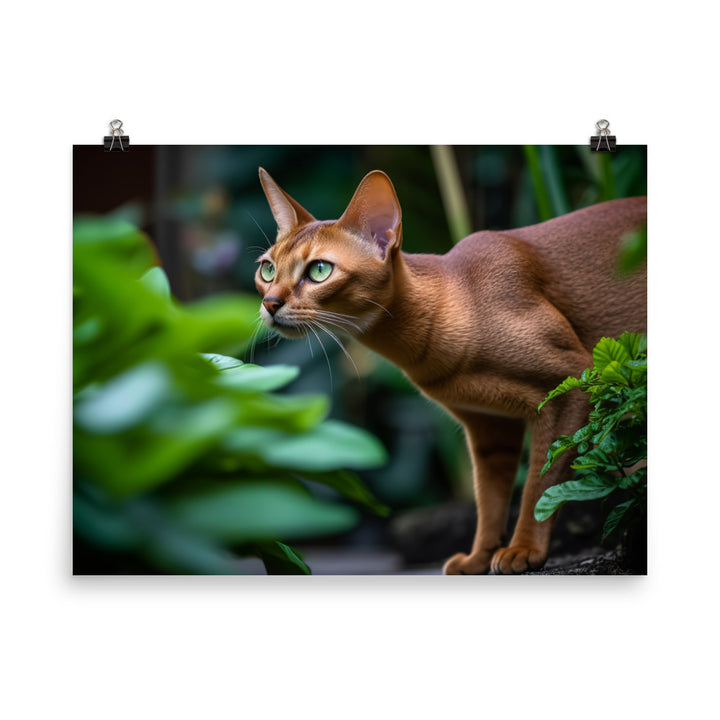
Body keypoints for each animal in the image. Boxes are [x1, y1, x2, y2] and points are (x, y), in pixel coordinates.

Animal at [255, 165, 648, 572]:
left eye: (319, 270)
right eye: (267, 270)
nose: (270, 303)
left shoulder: (571, 384)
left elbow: (541, 485)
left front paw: (524, 550)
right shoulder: (489, 425)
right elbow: (489, 499)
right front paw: (479, 557)